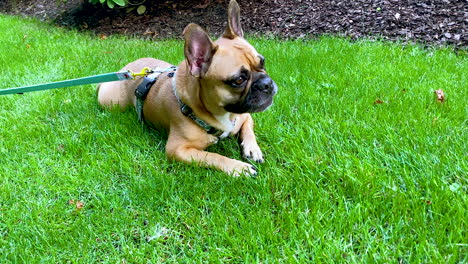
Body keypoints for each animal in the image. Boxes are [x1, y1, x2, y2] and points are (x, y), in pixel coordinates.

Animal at [96, 0, 276, 177]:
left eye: (262, 62)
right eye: (238, 80)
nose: (267, 83)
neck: (225, 115)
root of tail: (125, 70)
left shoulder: (244, 116)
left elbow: (248, 128)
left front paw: (252, 149)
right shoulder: (178, 149)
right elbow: (212, 156)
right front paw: (238, 167)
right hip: (112, 103)